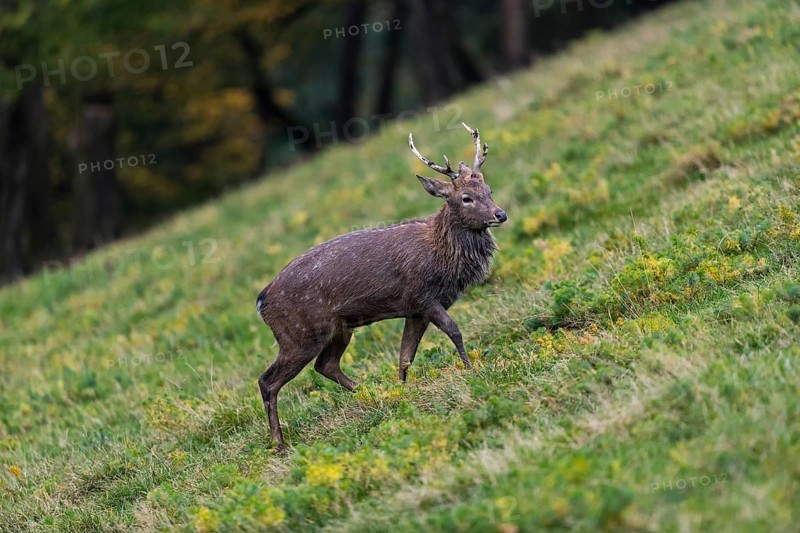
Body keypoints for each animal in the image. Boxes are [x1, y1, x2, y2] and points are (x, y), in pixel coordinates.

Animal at [255, 123, 507, 451]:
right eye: (466, 198)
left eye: (489, 190)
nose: (500, 214)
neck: (442, 257)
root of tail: (262, 302)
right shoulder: (423, 296)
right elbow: (454, 330)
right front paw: (471, 368)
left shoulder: (414, 310)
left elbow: (405, 355)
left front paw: (402, 390)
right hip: (299, 334)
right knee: (268, 380)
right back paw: (279, 444)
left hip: (339, 328)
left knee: (325, 365)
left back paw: (371, 392)